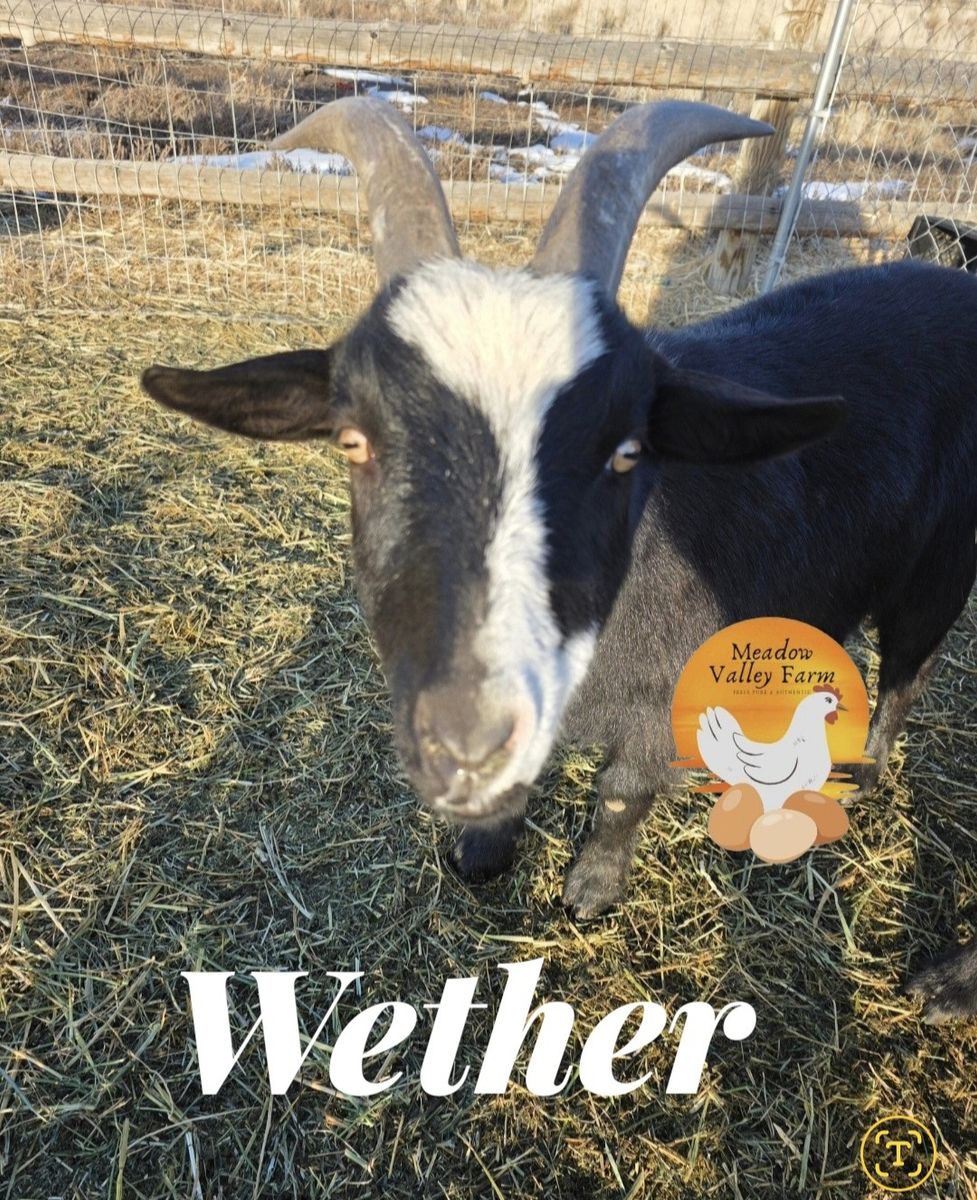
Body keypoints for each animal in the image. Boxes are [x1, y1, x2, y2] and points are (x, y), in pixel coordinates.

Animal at [141, 97, 977, 1022]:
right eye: (353, 441)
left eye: (625, 452)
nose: (463, 731)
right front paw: (481, 852)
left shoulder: (657, 703)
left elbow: (620, 795)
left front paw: (589, 891)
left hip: (939, 571)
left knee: (908, 672)